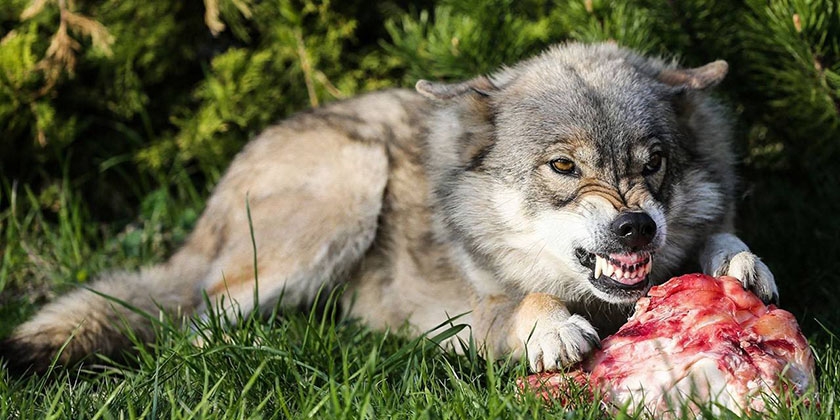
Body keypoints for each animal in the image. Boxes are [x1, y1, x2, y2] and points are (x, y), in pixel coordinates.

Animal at [1, 42, 777, 374]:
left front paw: (738, 262)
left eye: (653, 164)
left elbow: (720, 239)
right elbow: (520, 298)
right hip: (347, 189)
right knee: (197, 320)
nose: (635, 225)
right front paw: (549, 326)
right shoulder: (459, 313)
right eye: (564, 167)